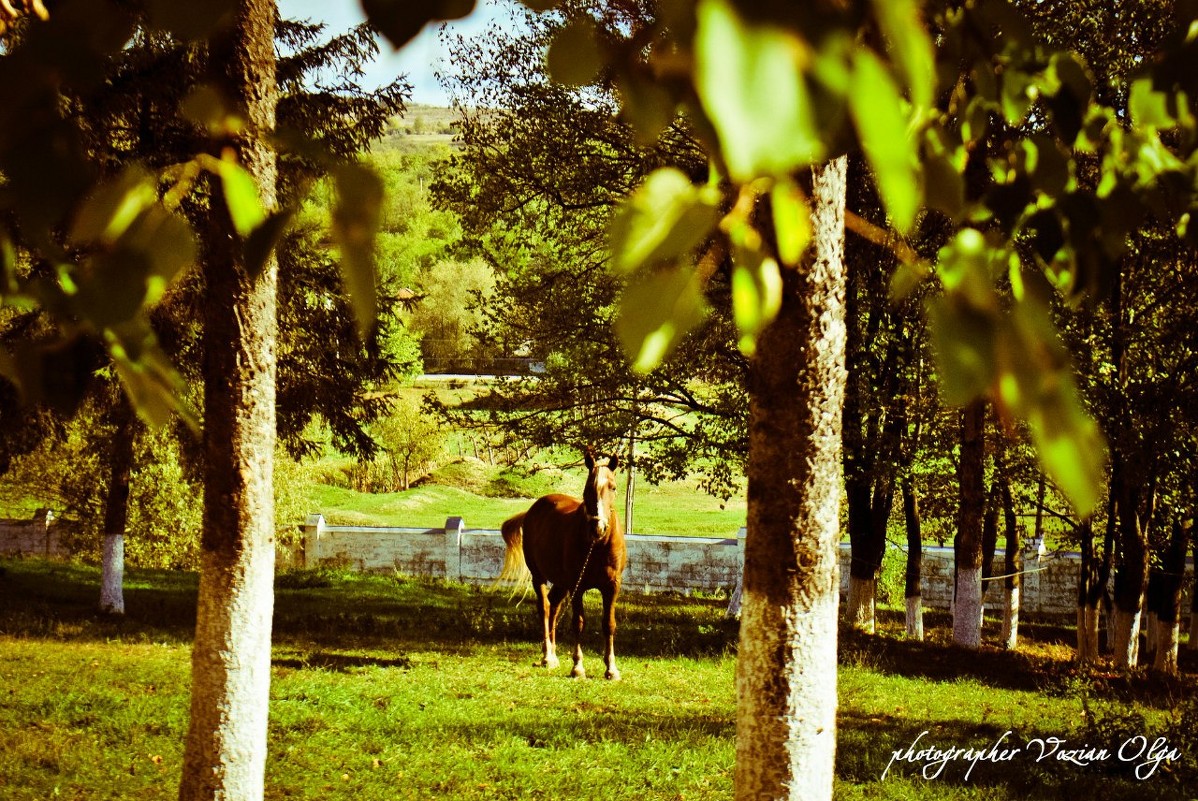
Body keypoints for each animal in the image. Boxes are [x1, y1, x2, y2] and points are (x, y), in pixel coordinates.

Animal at [495, 447, 627, 680]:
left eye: (612, 487)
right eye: (588, 488)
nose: (598, 527)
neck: (598, 546)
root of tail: (534, 509)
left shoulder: (612, 587)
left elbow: (609, 624)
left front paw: (611, 669)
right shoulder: (577, 586)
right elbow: (578, 623)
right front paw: (578, 667)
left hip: (560, 583)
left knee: (554, 606)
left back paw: (553, 654)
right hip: (539, 576)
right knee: (545, 608)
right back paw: (548, 656)